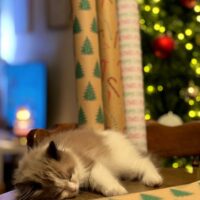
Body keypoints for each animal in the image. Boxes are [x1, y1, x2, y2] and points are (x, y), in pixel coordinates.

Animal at [14, 129, 163, 199]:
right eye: (59, 192)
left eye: (69, 176)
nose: (74, 188)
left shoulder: (91, 164)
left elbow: (100, 179)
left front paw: (116, 191)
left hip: (123, 163)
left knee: (145, 162)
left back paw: (153, 179)